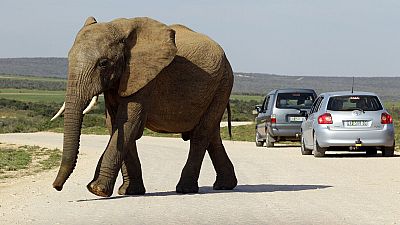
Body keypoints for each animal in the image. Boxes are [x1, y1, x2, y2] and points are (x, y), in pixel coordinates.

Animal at [50, 16, 238, 197]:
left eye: (103, 63)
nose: (56, 187)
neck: (121, 29)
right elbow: (115, 125)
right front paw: (129, 191)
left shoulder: (145, 77)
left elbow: (128, 124)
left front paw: (97, 190)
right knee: (212, 134)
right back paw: (224, 186)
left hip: (223, 83)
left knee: (201, 134)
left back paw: (186, 189)